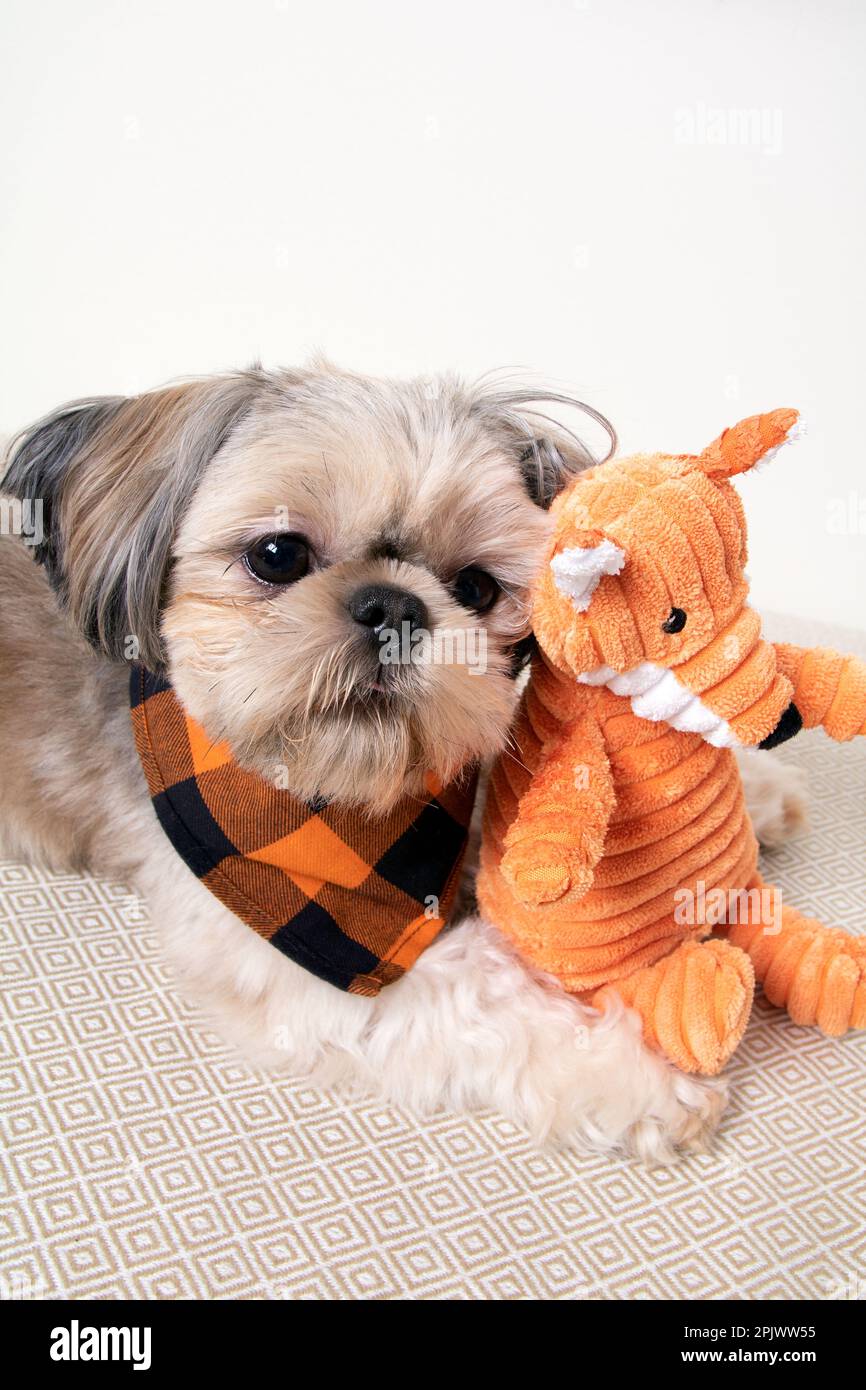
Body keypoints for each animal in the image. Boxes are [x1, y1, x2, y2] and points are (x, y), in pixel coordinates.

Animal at [0, 361, 806, 1162]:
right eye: (277, 556)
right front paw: (634, 1074)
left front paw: (755, 794)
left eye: (475, 587)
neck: (346, 811)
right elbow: (480, 993)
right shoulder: (312, 958)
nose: (393, 606)